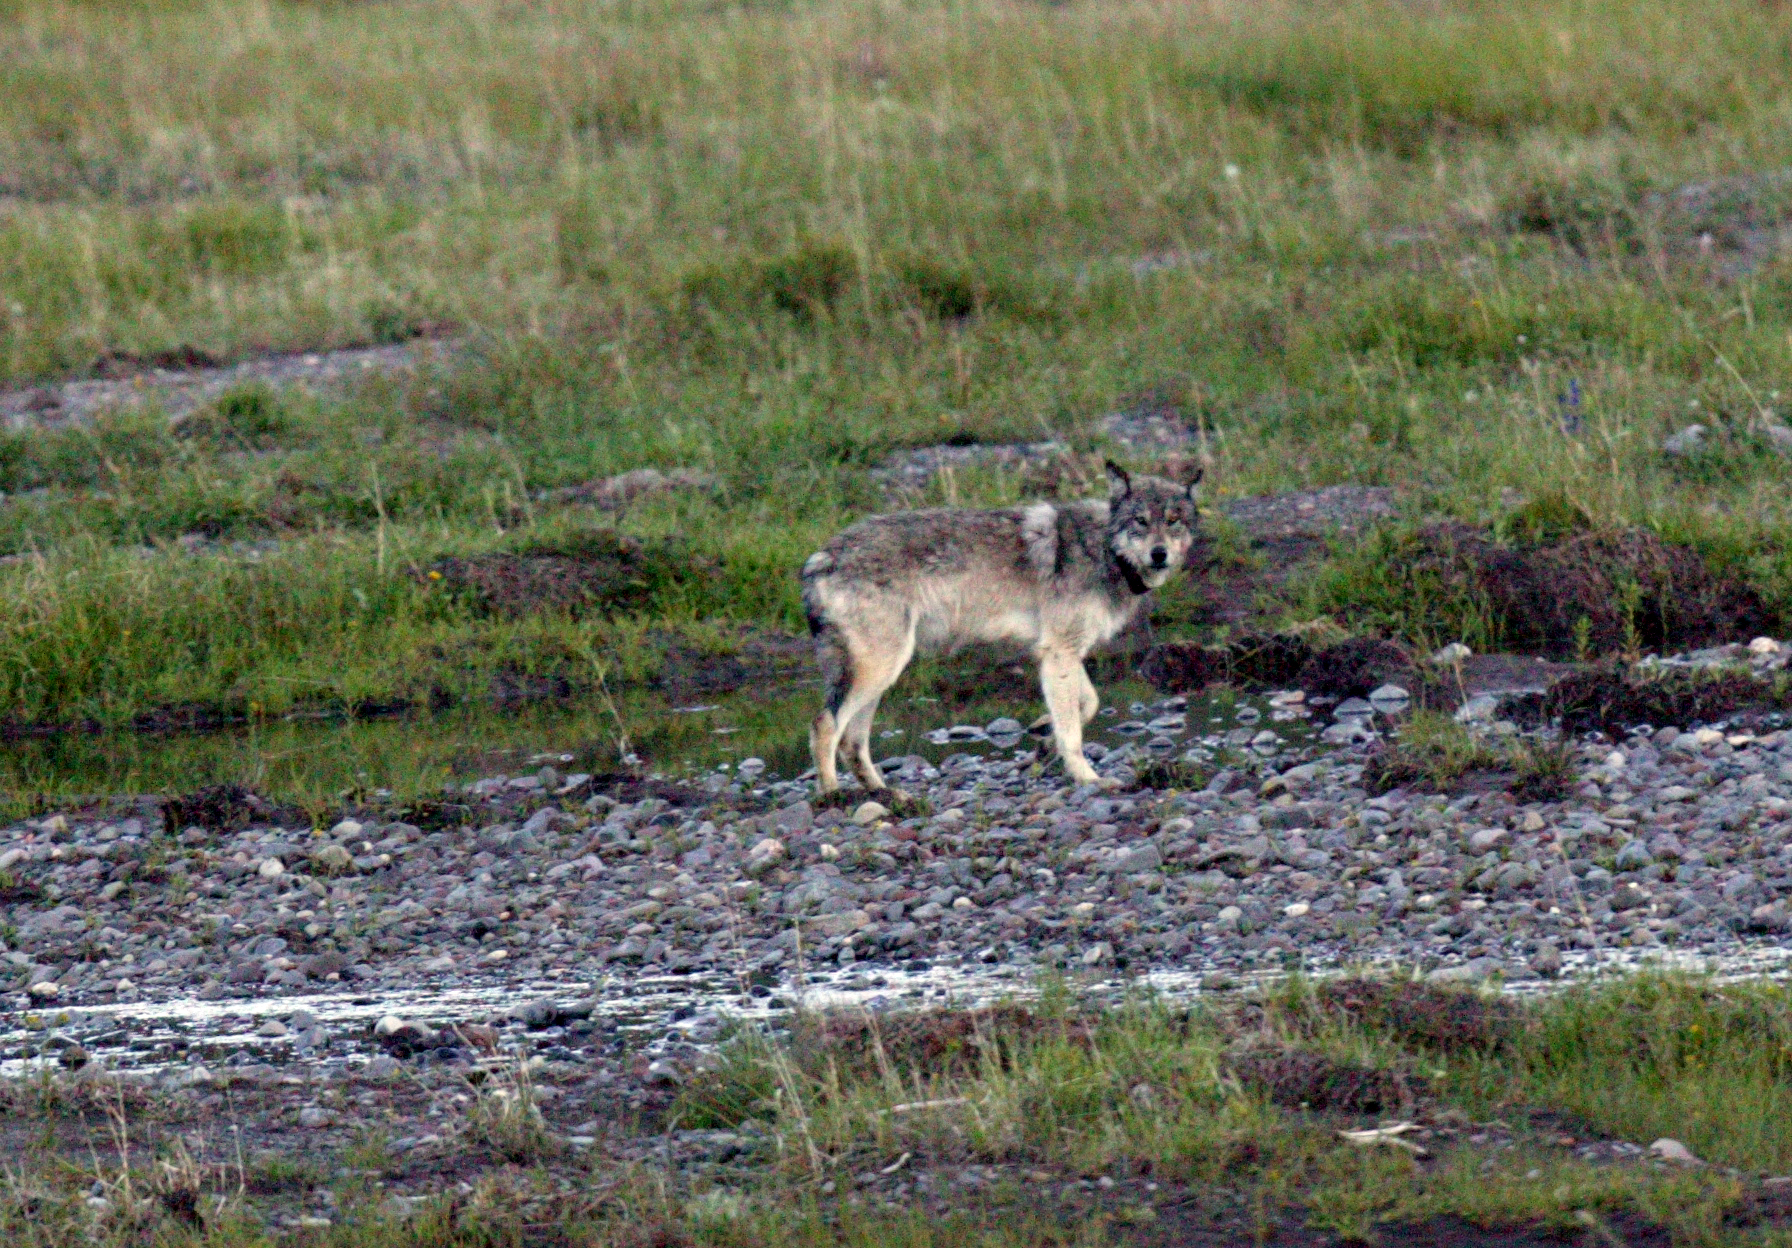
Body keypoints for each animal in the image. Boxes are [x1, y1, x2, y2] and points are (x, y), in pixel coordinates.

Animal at [802, 462, 1204, 796]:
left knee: (851, 741)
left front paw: (1044, 741)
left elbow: (1087, 705)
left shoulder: (1060, 654)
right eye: (1140, 520)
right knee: (825, 726)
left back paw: (883, 793)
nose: (1159, 554)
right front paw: (1088, 778)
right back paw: (833, 796)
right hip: (880, 668)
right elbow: (1074, 731)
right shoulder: (1060, 653)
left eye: (1173, 521)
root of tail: (821, 557)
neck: (1104, 551)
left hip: (880, 675)